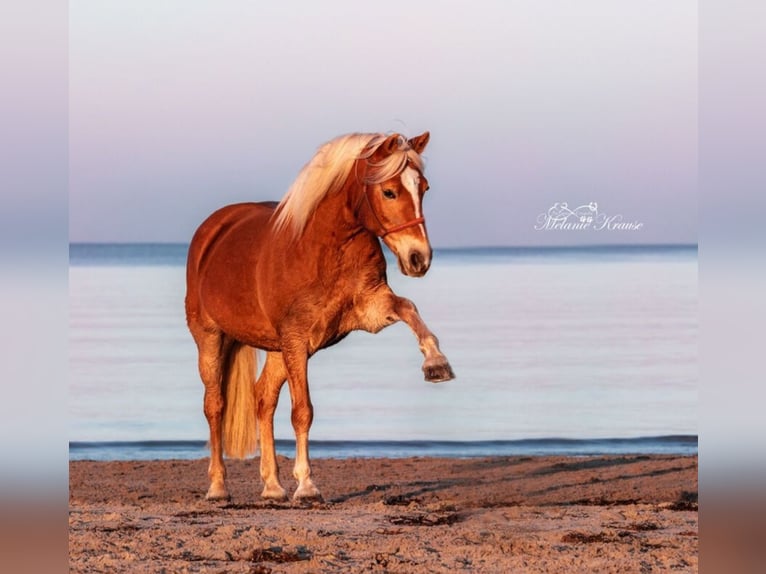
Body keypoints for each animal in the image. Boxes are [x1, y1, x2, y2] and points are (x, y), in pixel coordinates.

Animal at [186, 133, 456, 502]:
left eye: (424, 188)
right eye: (389, 192)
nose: (419, 259)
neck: (324, 248)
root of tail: (212, 230)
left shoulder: (369, 310)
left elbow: (409, 308)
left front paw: (436, 363)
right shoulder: (297, 340)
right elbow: (303, 411)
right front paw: (307, 486)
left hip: (277, 349)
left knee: (262, 399)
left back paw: (272, 486)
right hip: (212, 338)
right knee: (215, 405)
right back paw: (218, 487)